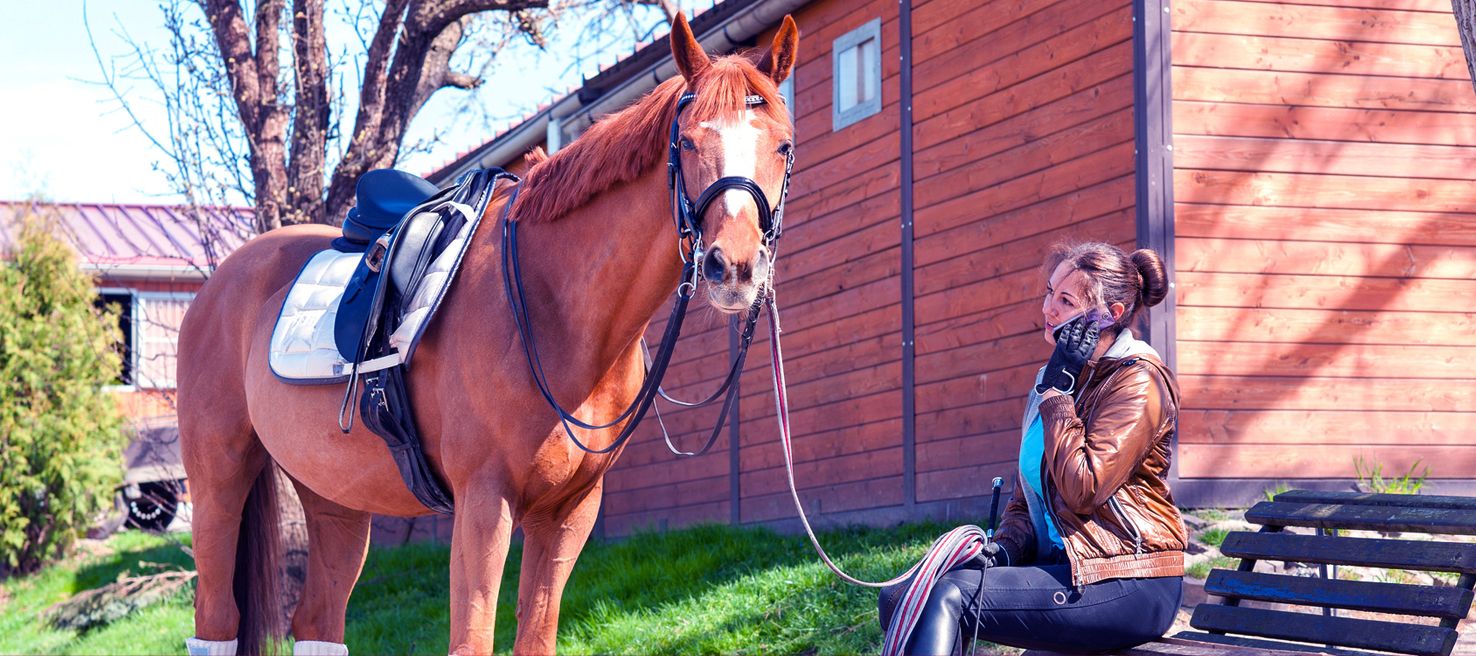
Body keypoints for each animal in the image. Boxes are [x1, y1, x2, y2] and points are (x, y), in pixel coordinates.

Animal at [178, 15, 802, 656]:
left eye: (783, 145)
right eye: (688, 143)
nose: (734, 267)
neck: (555, 309)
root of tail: (223, 279)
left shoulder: (569, 513)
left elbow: (537, 636)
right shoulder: (484, 503)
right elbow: (471, 638)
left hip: (334, 497)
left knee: (318, 621)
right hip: (218, 480)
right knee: (217, 619)